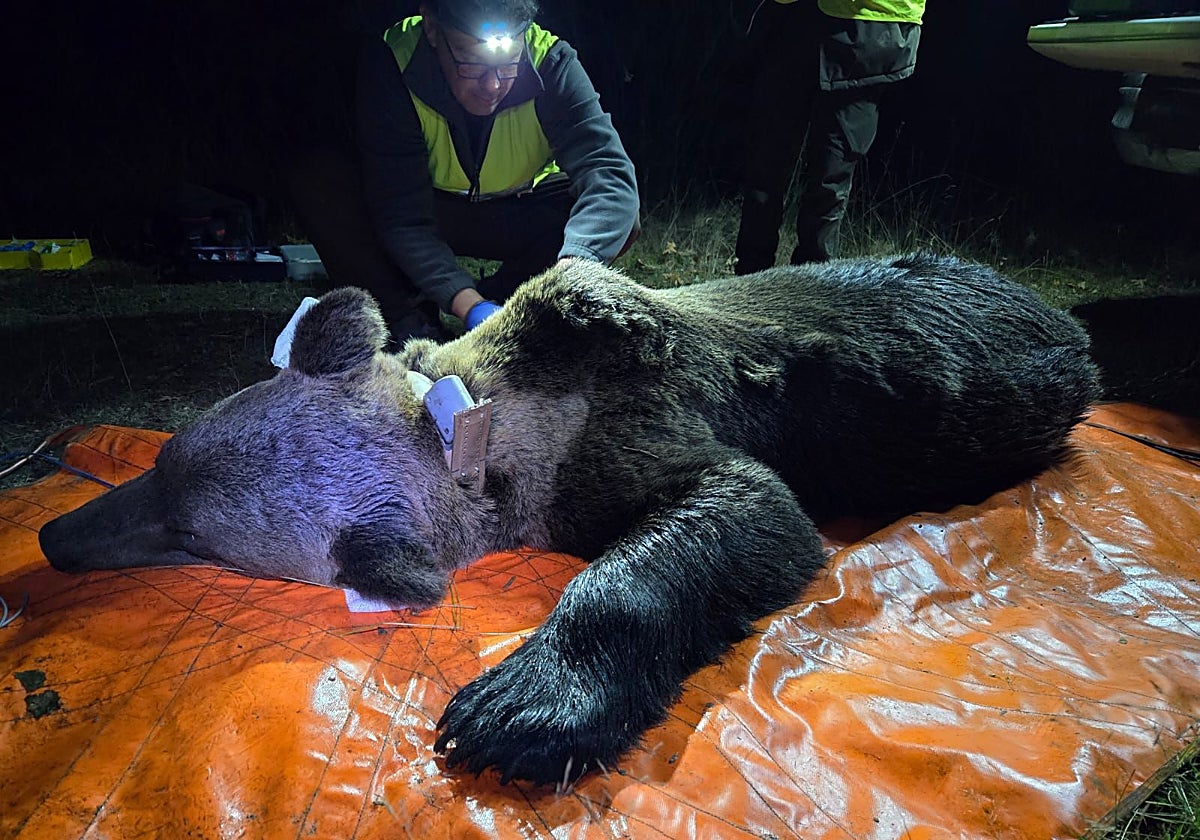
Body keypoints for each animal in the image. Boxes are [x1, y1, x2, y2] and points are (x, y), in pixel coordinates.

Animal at [38, 253, 1101, 785]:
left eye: (190, 534)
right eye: (165, 463)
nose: (53, 537)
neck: (478, 424)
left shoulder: (626, 414)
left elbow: (748, 510)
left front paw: (519, 707)